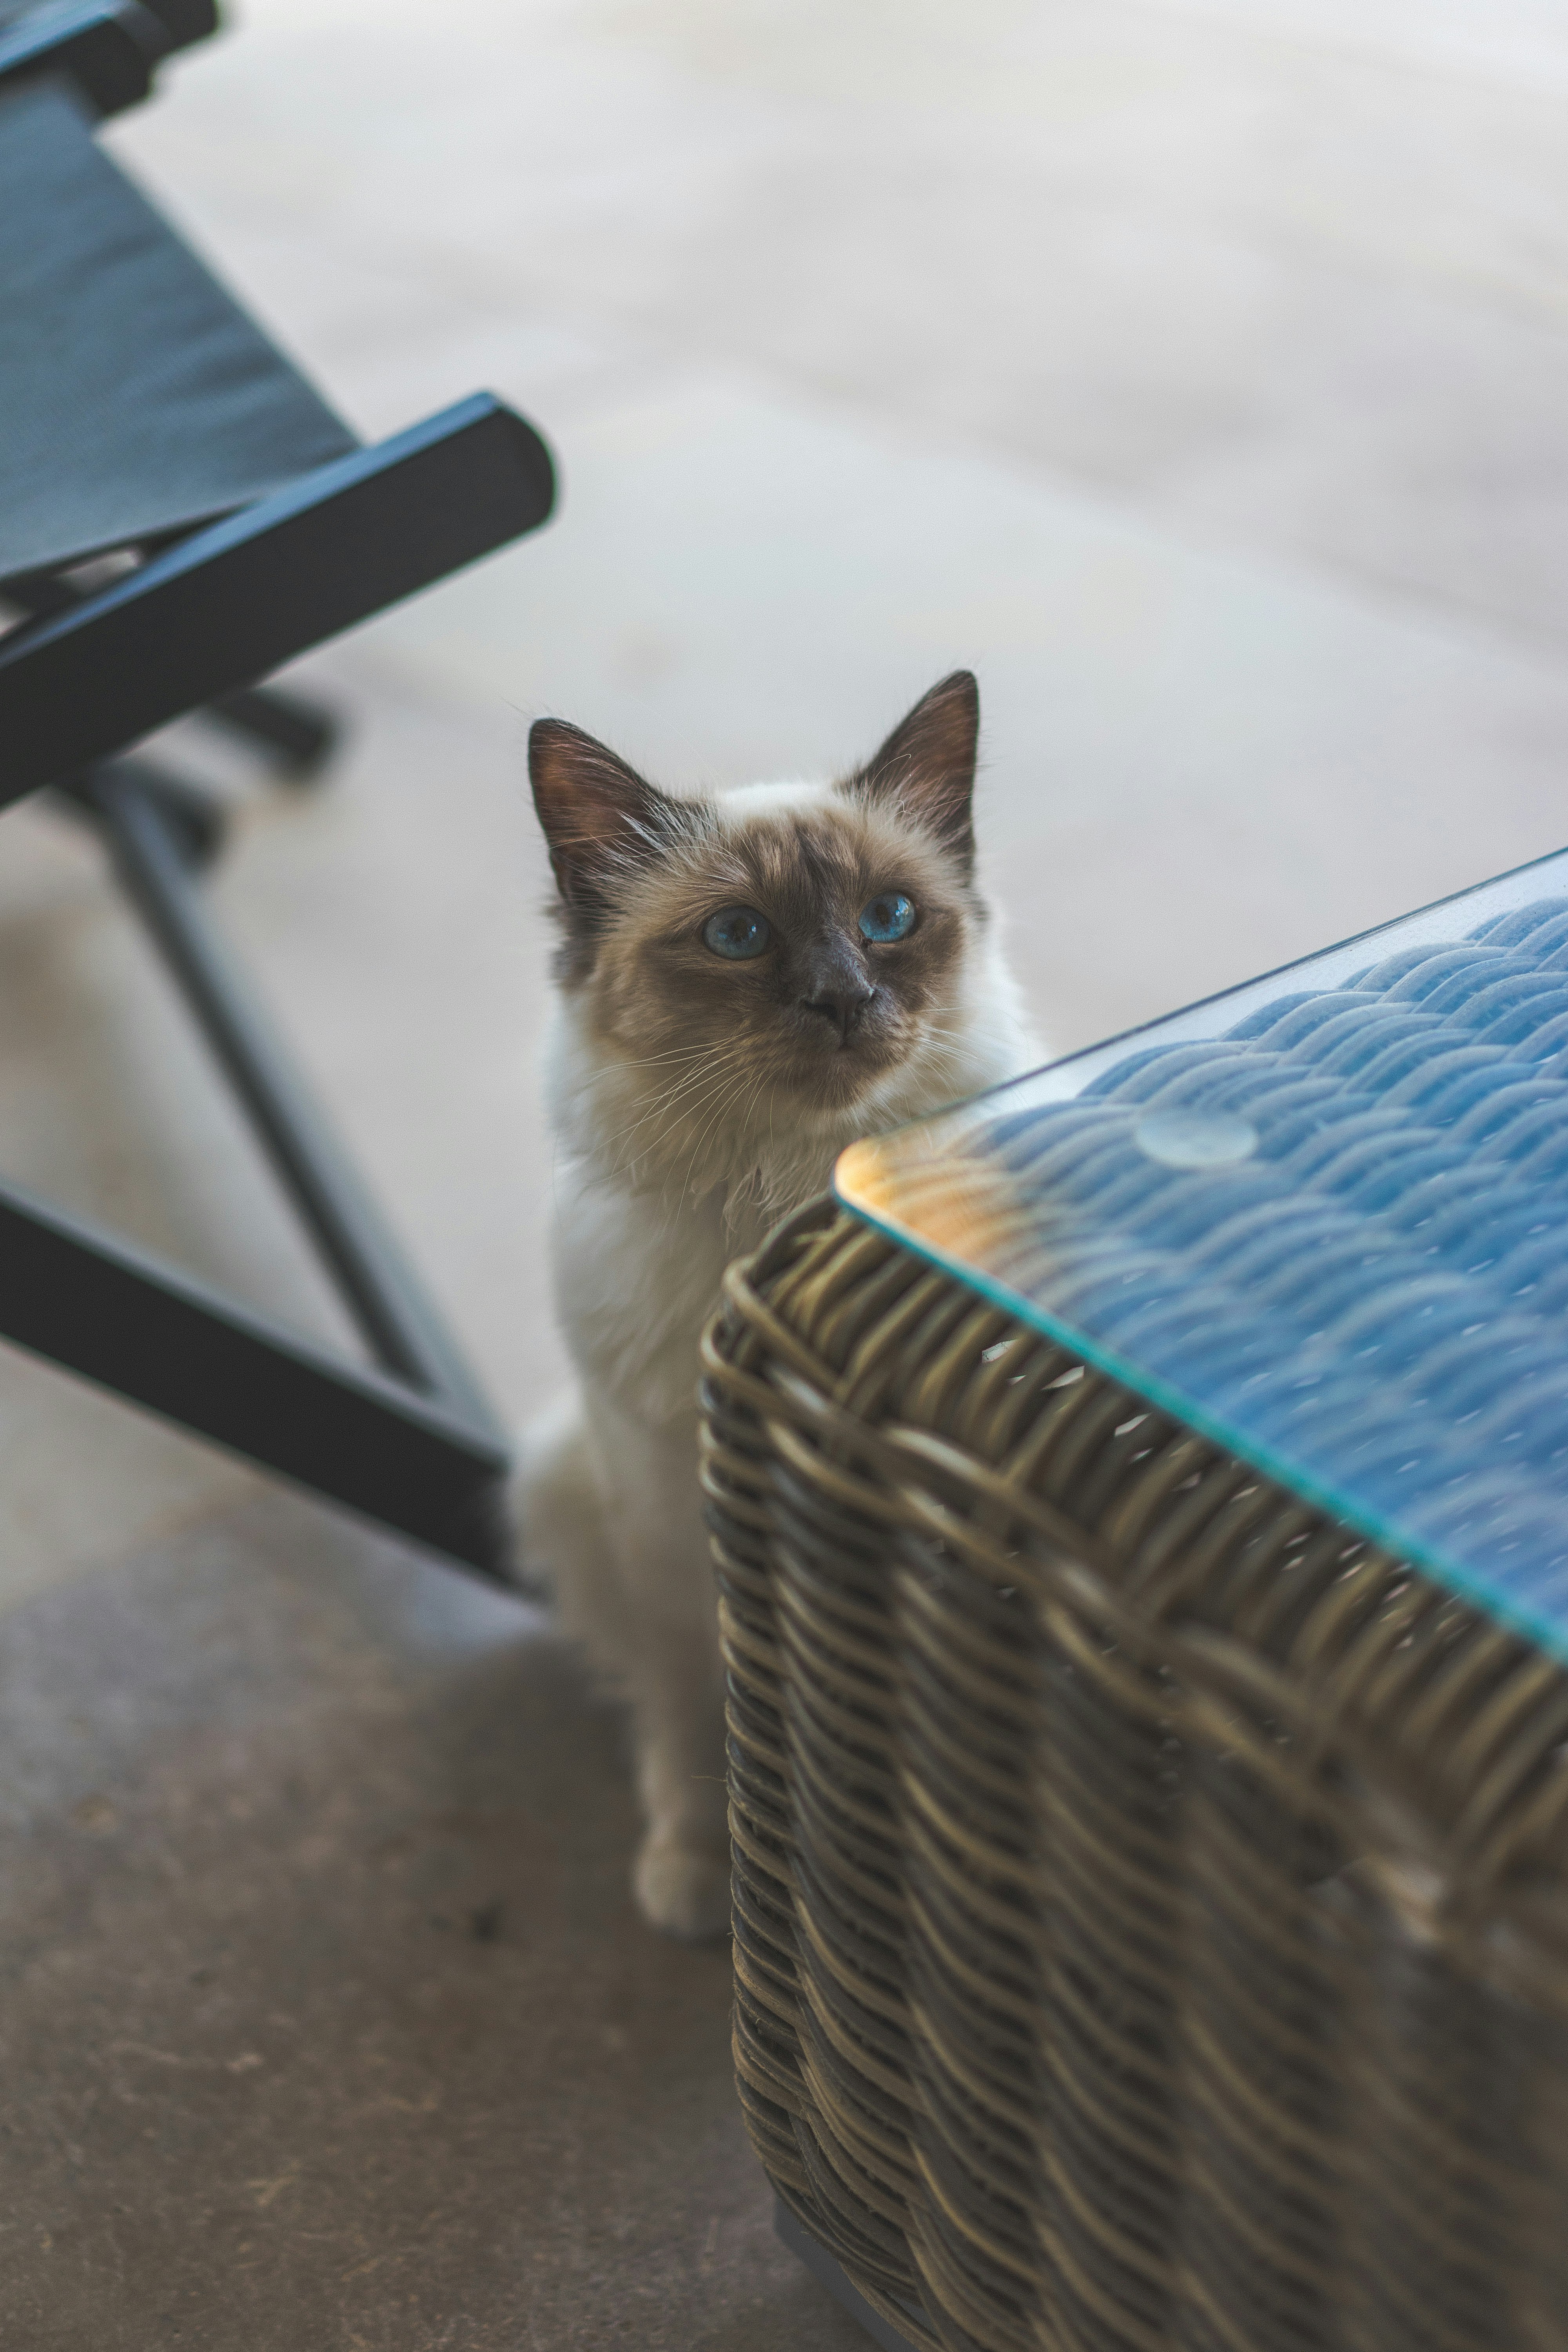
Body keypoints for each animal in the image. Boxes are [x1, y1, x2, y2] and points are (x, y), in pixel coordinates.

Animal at [517, 673, 1044, 1938]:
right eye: (738, 936)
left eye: (889, 917)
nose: (843, 999)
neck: (788, 1207)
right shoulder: (670, 1543)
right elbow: (697, 1723)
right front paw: (704, 1873)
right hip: (559, 1483)